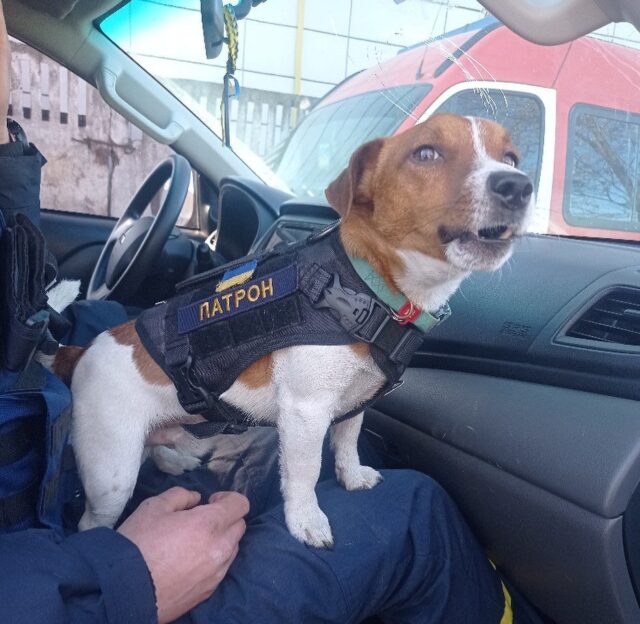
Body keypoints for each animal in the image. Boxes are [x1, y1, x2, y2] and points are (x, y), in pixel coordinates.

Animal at [47, 114, 532, 548]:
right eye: (426, 153)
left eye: (510, 157)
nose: (518, 185)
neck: (363, 286)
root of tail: (80, 351)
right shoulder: (305, 413)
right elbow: (304, 473)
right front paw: (305, 520)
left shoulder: (354, 401)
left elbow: (348, 441)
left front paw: (352, 476)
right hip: (112, 470)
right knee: (94, 519)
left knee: (155, 446)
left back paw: (171, 459)